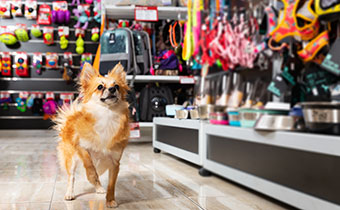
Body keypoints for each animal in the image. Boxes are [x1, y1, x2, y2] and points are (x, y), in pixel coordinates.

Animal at [53, 62, 130, 208]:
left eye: (117, 86)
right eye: (100, 87)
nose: (112, 89)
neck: (107, 115)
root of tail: (71, 117)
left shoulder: (115, 162)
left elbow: (111, 184)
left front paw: (110, 200)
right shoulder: (81, 147)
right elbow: (90, 166)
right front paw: (91, 176)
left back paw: (99, 188)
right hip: (71, 158)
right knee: (71, 177)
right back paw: (70, 193)